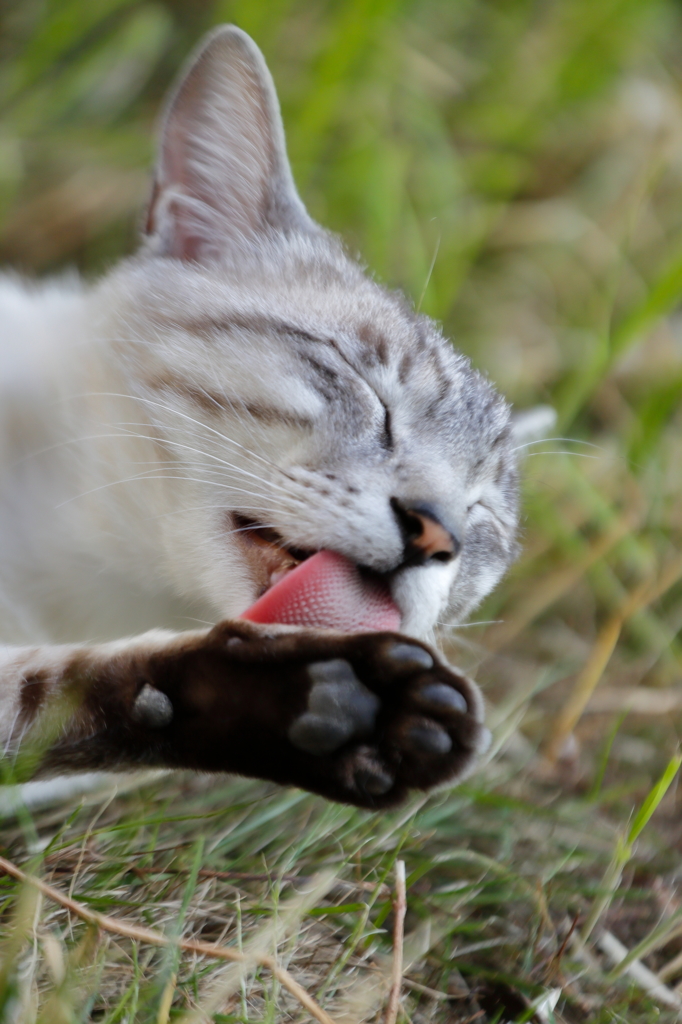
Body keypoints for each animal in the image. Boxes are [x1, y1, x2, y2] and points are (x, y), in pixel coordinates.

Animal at [0, 24, 522, 806]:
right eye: (369, 391)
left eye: (483, 514)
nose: (438, 533)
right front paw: (340, 699)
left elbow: (61, 703)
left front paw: (334, 715)